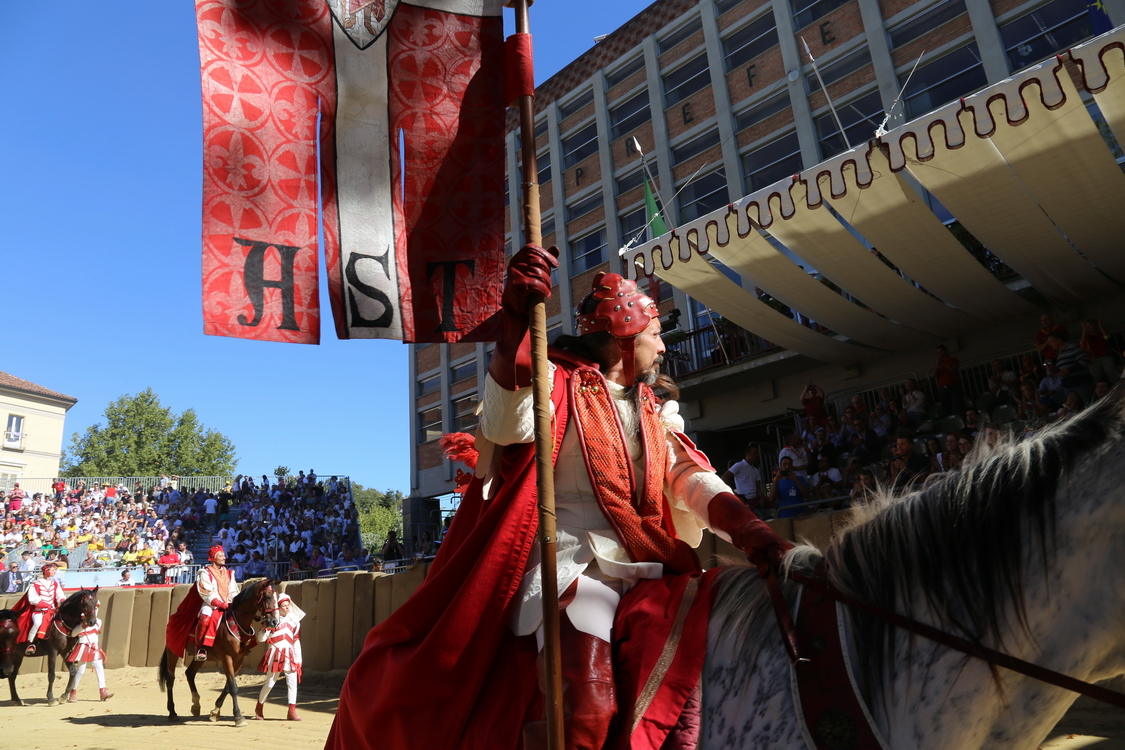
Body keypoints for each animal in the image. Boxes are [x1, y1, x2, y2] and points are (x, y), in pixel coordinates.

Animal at [156, 580, 279, 728]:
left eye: (277, 597)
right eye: (267, 597)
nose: (274, 622)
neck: (236, 622)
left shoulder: (238, 659)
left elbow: (228, 686)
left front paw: (215, 712)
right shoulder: (227, 658)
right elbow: (233, 687)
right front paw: (238, 717)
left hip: (200, 657)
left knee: (189, 673)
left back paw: (196, 705)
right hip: (173, 652)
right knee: (170, 679)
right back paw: (172, 712)